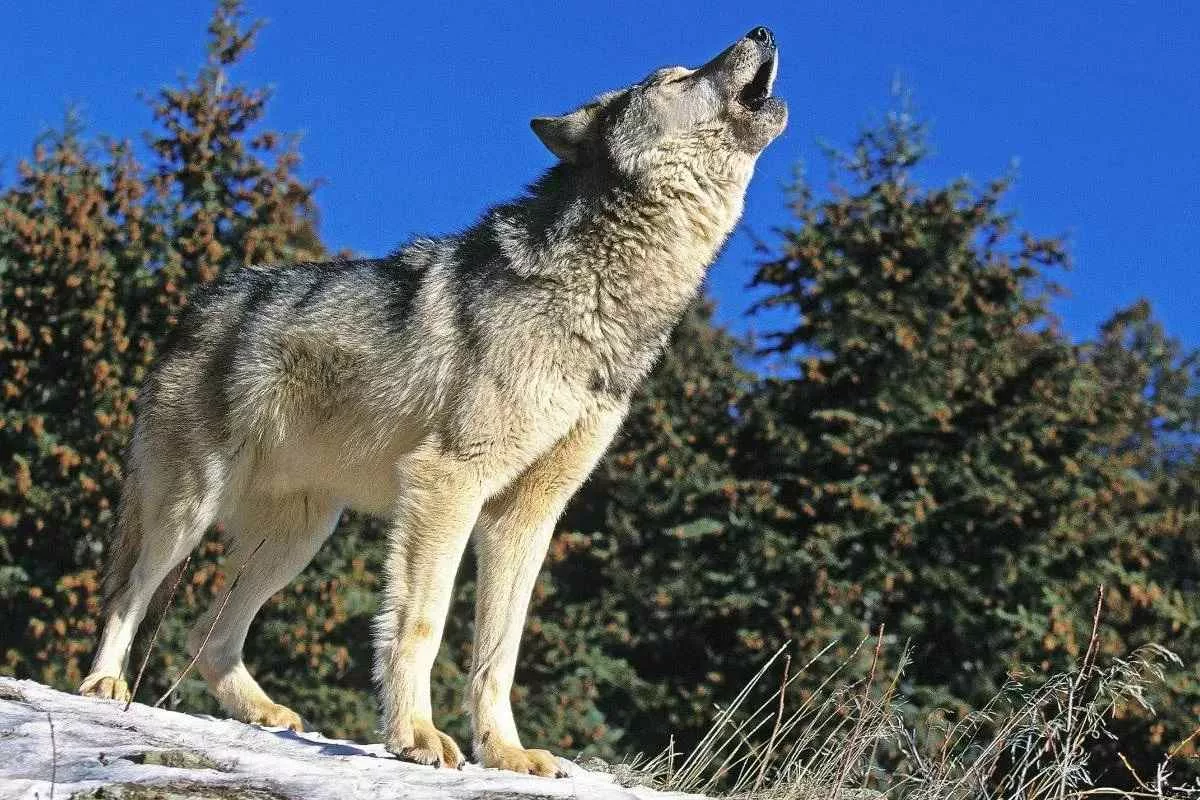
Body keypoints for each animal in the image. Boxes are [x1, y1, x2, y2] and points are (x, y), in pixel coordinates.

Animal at [79, 27, 786, 776]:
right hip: (190, 507)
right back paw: (105, 685)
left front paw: (505, 752)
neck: (602, 301)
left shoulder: (526, 516)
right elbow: (420, 623)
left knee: (205, 636)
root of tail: (196, 306)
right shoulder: (447, 482)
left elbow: (498, 654)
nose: (763, 31)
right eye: (673, 78)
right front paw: (415, 736)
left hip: (299, 538)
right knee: (128, 594)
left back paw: (265, 713)